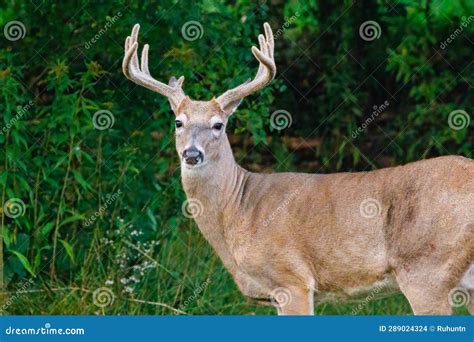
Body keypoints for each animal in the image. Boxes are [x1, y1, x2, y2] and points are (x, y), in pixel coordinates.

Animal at [122, 21, 474, 316]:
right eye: (178, 122)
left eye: (219, 125)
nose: (192, 154)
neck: (239, 209)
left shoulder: (292, 278)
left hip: (426, 269)